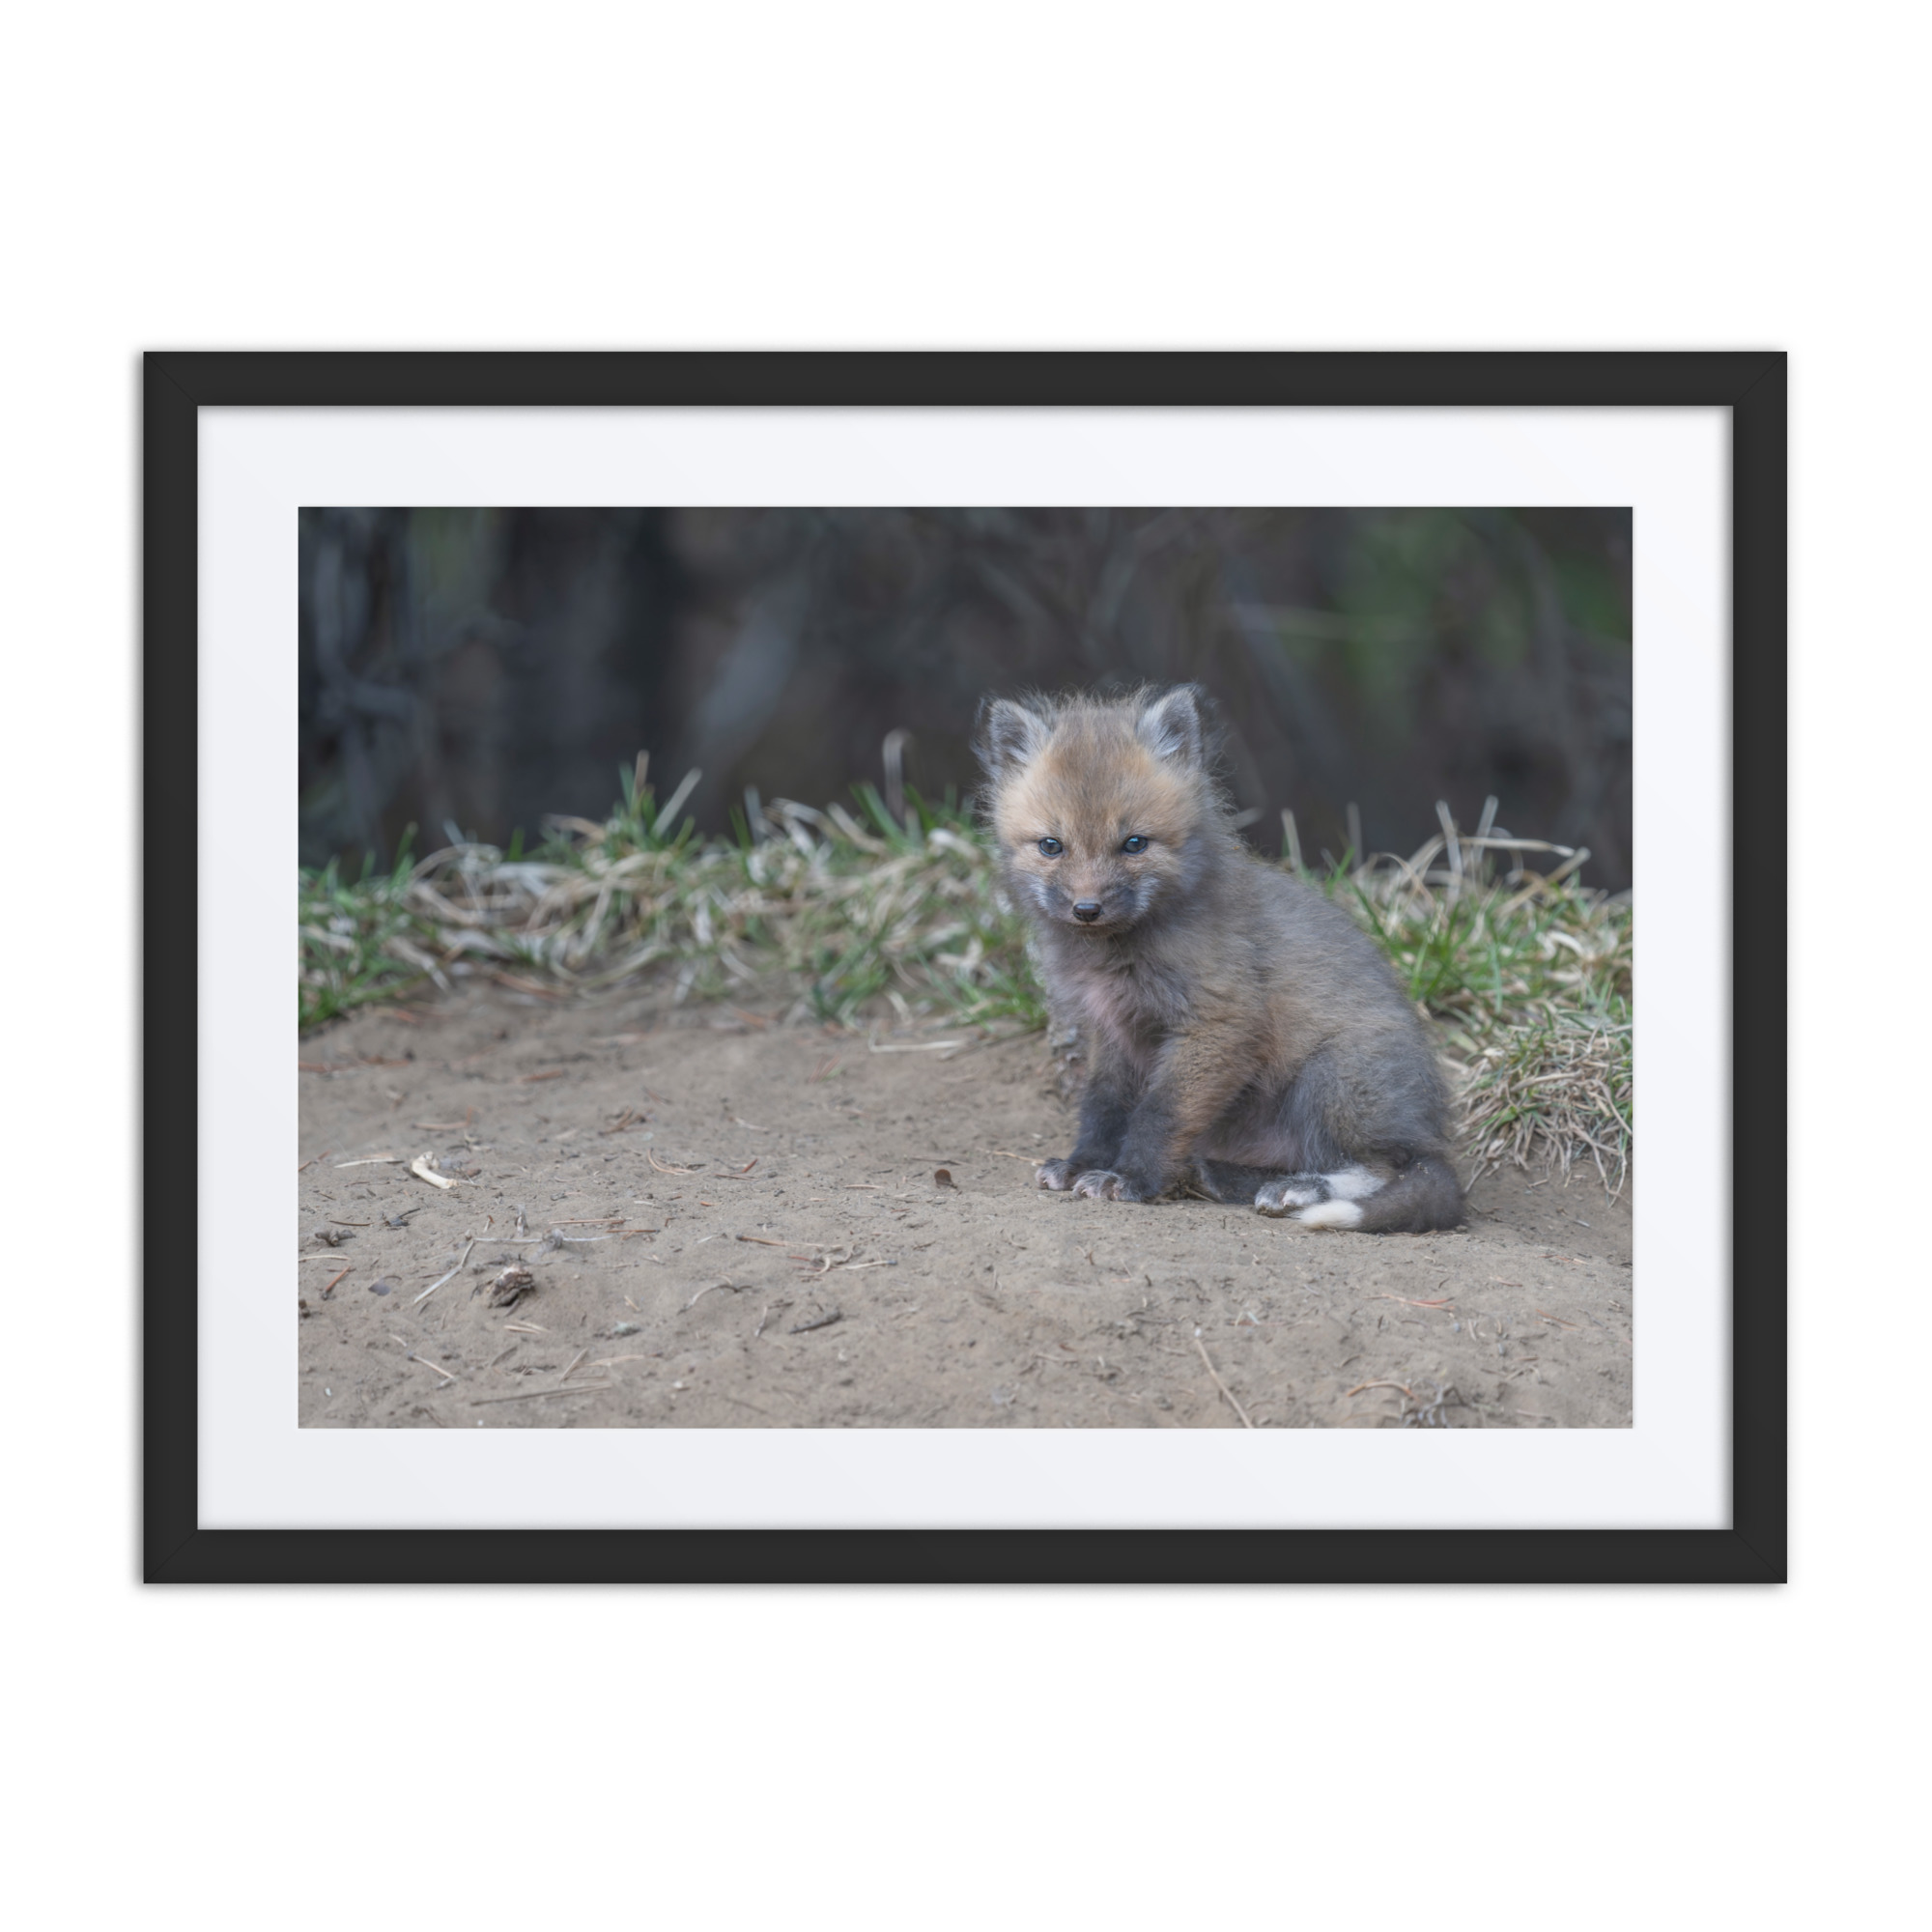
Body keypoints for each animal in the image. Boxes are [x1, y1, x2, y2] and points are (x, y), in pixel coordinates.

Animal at [974, 684, 1463, 1233]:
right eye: (1051, 846)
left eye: (1134, 844)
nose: (1087, 909)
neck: (1116, 955)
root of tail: (1430, 1130)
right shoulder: (1113, 1031)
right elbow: (1103, 1108)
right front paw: (1084, 1164)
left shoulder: (1217, 1022)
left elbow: (1159, 1114)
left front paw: (1131, 1179)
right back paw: (1225, 1177)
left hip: (1332, 1078)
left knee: (1388, 1167)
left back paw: (1300, 1189)